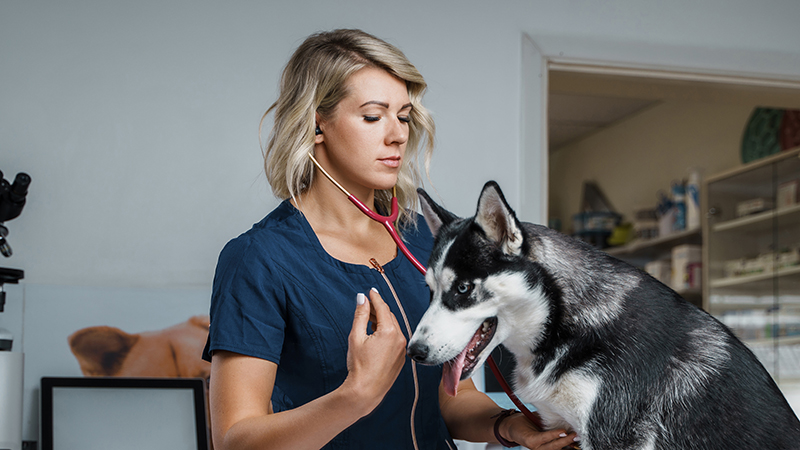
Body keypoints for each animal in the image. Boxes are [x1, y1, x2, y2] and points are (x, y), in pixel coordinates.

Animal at [410, 181, 796, 448]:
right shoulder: (559, 429)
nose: (414, 352)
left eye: (462, 288)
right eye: (429, 290)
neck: (567, 325)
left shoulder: (610, 437)